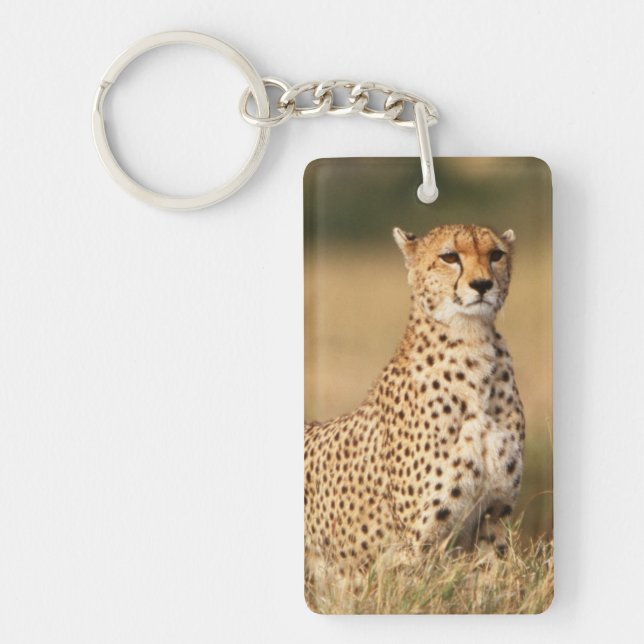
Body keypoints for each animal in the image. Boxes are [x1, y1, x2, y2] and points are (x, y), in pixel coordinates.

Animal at [304, 224, 525, 580]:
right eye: (449, 257)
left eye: (496, 255)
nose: (482, 285)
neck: (472, 343)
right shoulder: (420, 542)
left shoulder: (494, 519)